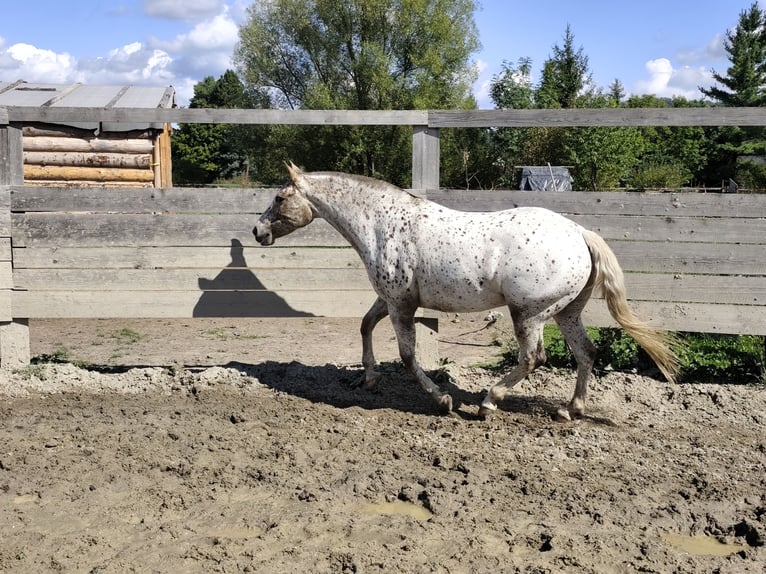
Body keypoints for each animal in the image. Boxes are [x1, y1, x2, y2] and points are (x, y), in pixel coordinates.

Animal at [253, 163, 679, 420]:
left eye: (279, 197)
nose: (258, 232)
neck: (381, 224)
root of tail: (579, 233)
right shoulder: (390, 299)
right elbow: (364, 325)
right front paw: (369, 378)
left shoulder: (401, 305)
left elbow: (408, 357)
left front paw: (443, 400)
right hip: (565, 312)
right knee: (586, 353)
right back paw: (568, 410)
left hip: (529, 314)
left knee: (534, 357)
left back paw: (488, 402)